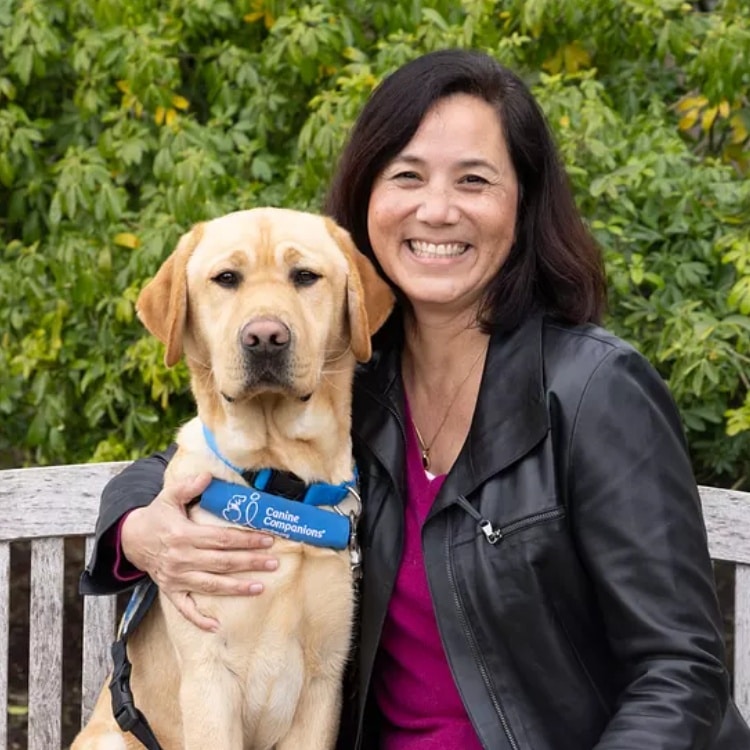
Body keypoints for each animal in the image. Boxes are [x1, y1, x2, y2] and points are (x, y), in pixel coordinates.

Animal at [73, 207, 396, 750]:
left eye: (305, 276)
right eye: (226, 279)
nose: (265, 337)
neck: (279, 481)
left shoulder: (324, 681)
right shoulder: (209, 678)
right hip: (110, 739)